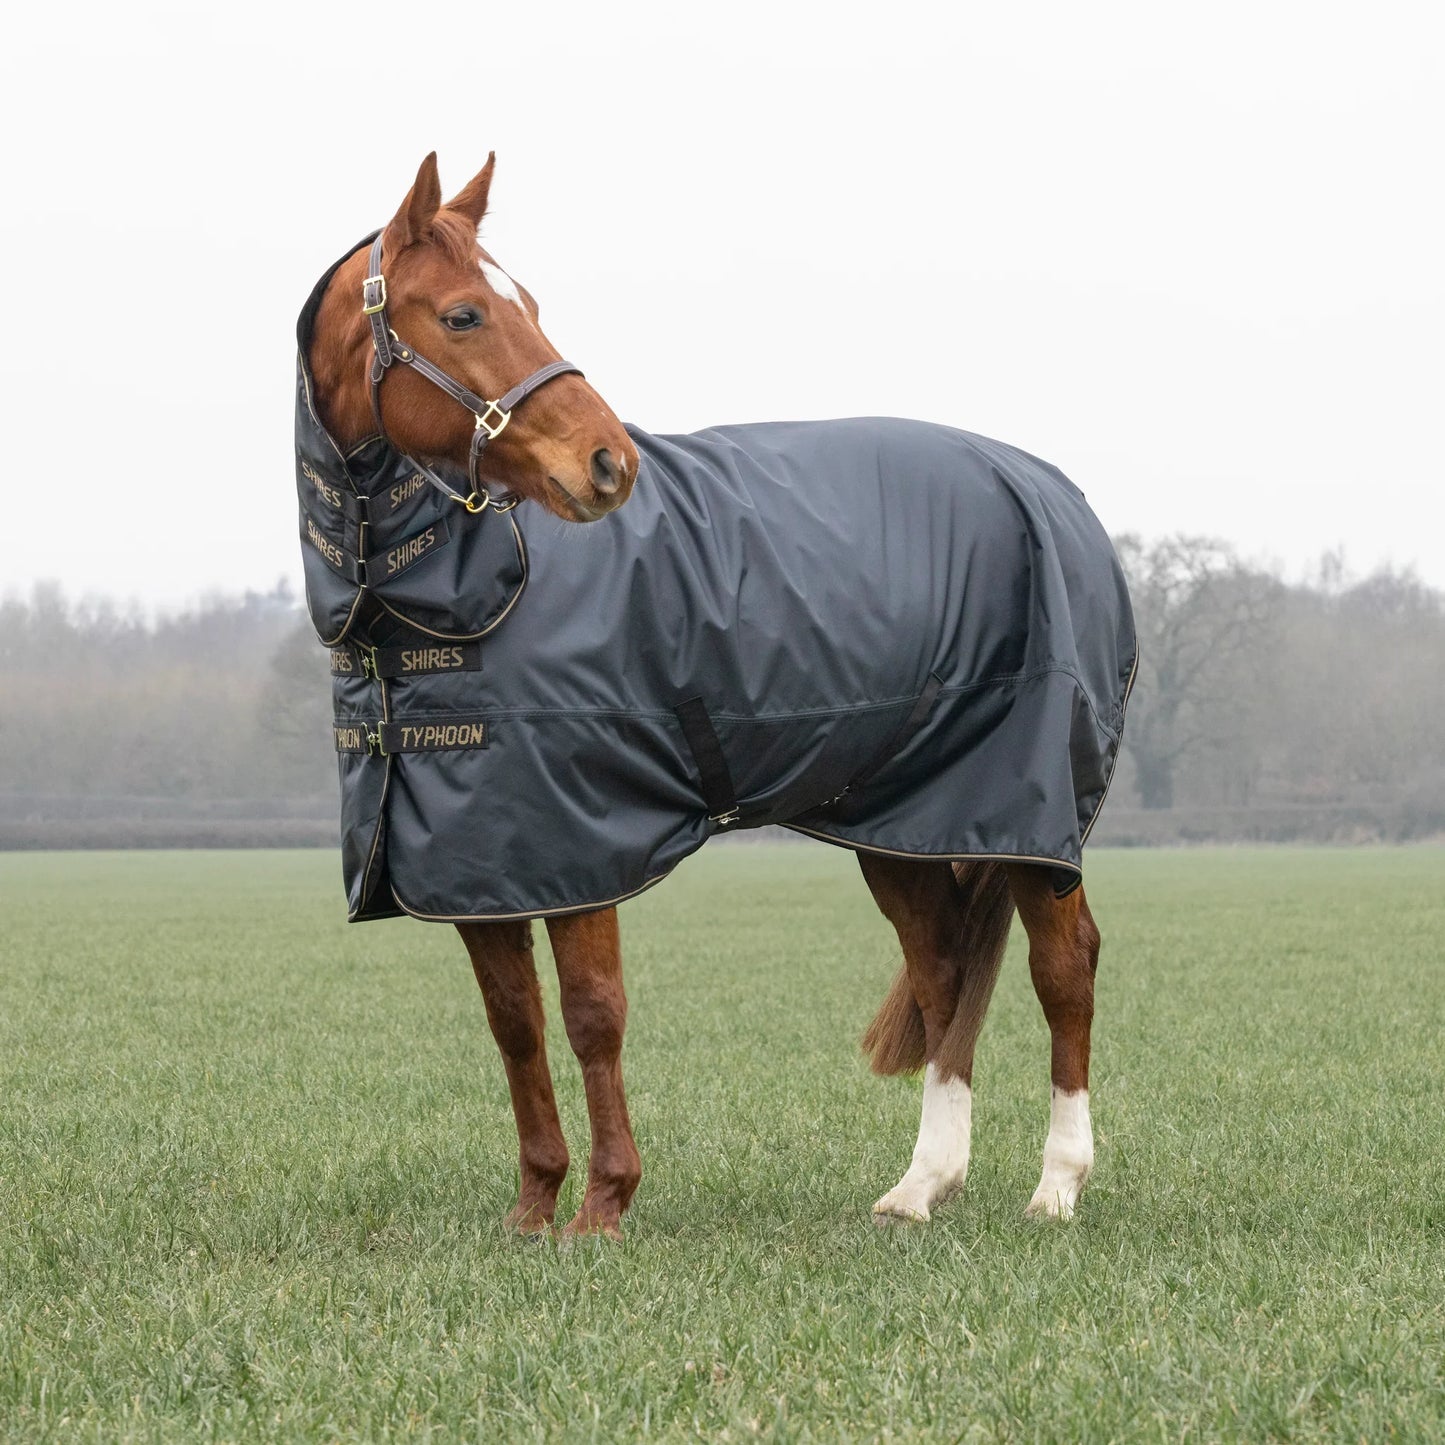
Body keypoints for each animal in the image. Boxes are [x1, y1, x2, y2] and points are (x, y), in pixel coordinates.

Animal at [299, 152, 1133, 1239]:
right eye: (464, 314)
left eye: (526, 304)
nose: (608, 463)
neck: (461, 593)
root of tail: (1055, 493)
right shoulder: (482, 864)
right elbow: (514, 1025)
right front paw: (533, 1207)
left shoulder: (579, 845)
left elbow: (592, 1013)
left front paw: (602, 1206)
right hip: (905, 822)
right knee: (947, 967)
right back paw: (921, 1185)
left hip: (1032, 816)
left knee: (1063, 966)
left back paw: (1056, 1184)